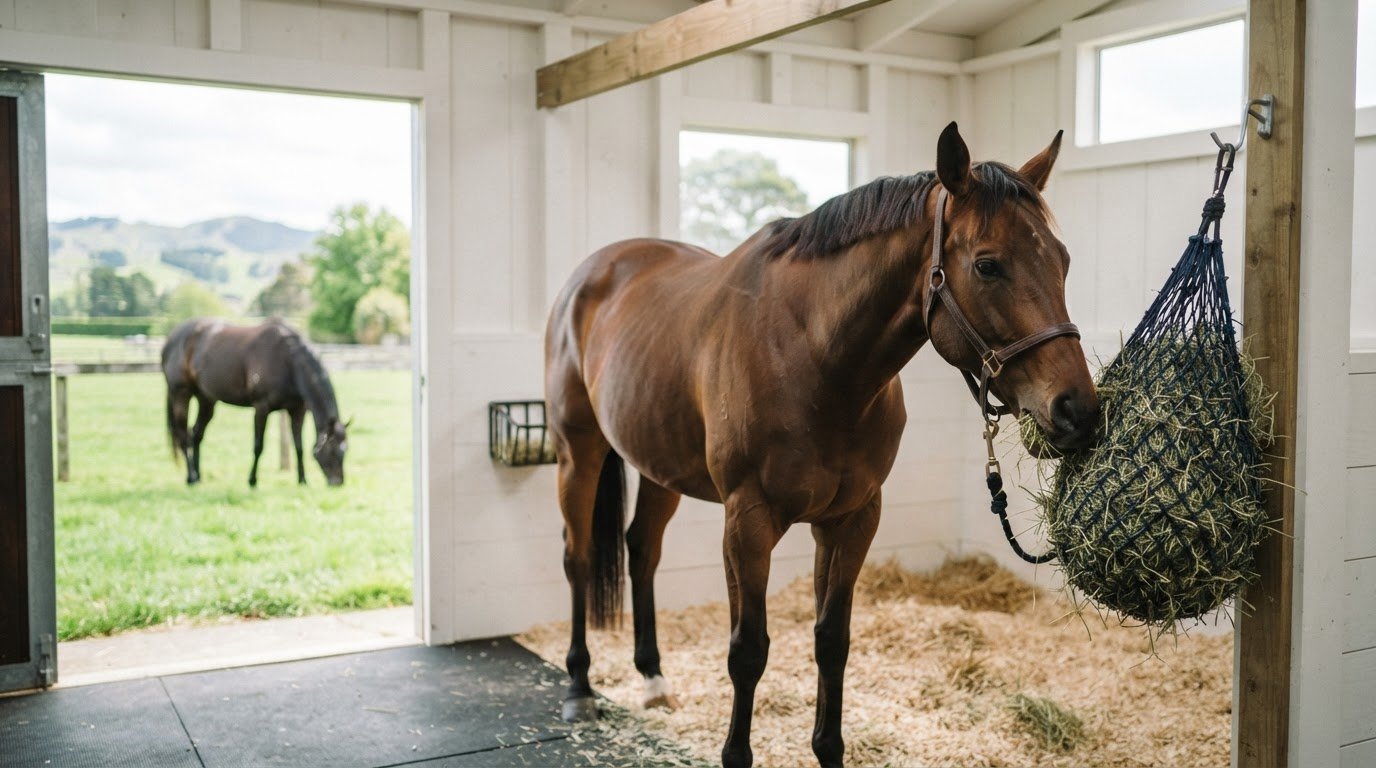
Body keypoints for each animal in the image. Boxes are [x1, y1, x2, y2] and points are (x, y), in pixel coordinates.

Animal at [161, 318, 348, 488]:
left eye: (345, 450)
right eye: (332, 450)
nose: (338, 482)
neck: (287, 360)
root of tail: (170, 340)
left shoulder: (297, 410)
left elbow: (299, 446)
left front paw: (302, 480)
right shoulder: (261, 408)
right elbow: (258, 446)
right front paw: (252, 481)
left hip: (206, 399)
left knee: (196, 434)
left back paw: (198, 476)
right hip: (181, 394)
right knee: (183, 436)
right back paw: (191, 477)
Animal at [543, 122, 1099, 767]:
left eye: (1062, 260)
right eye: (988, 266)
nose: (1078, 410)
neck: (816, 357)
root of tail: (592, 273)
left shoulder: (851, 519)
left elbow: (832, 640)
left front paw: (828, 748)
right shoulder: (748, 521)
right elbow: (748, 650)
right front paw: (735, 753)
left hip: (661, 466)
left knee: (641, 551)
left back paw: (653, 678)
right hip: (577, 453)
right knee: (578, 557)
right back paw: (579, 687)